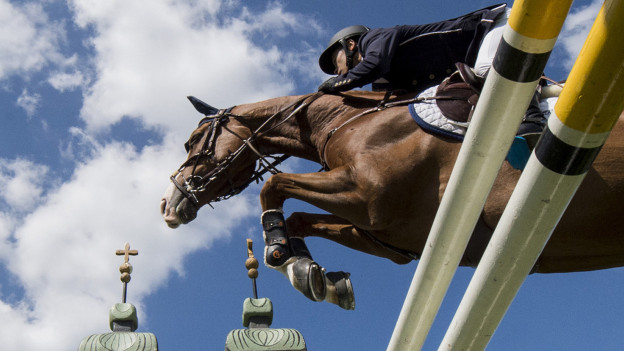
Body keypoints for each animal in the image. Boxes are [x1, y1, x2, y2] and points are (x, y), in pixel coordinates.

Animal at [160, 90, 624, 310]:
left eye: (193, 141)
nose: (168, 206)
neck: (343, 120)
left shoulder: (366, 195)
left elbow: (273, 188)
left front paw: (279, 254)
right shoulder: (389, 237)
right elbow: (300, 220)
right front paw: (314, 275)